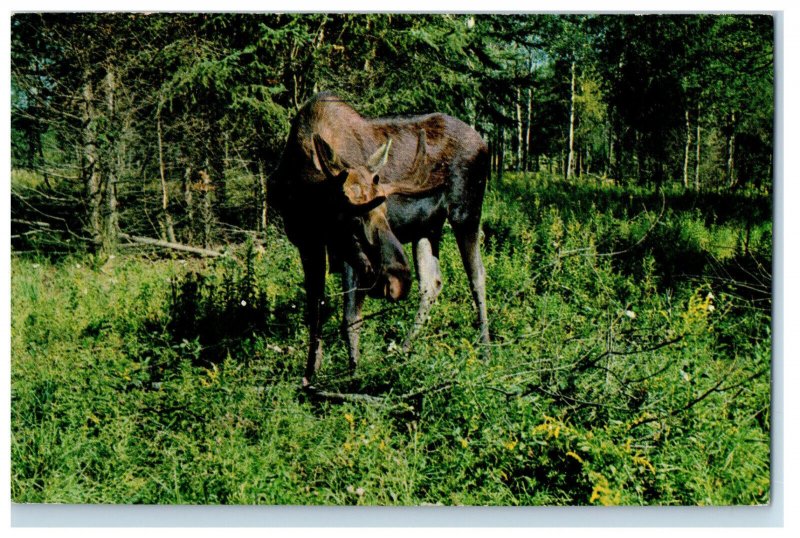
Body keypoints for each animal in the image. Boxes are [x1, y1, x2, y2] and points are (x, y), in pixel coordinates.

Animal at [272, 92, 490, 386]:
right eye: (352, 218)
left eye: (386, 211)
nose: (399, 281)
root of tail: (485, 144)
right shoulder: (308, 243)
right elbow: (316, 312)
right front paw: (310, 375)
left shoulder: (347, 254)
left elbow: (350, 317)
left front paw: (354, 375)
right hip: (427, 228)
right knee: (431, 283)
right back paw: (402, 351)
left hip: (466, 212)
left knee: (477, 275)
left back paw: (486, 351)